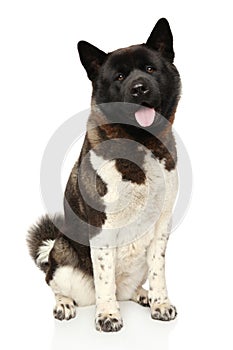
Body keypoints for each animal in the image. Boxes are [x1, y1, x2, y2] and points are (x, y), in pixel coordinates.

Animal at [26, 17, 180, 332]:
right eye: (119, 76)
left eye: (150, 69)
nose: (139, 88)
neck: (140, 144)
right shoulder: (101, 228)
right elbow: (104, 276)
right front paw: (108, 315)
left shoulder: (162, 227)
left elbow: (159, 270)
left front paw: (160, 303)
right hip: (63, 259)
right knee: (53, 282)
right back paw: (64, 304)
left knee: (129, 287)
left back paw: (142, 295)